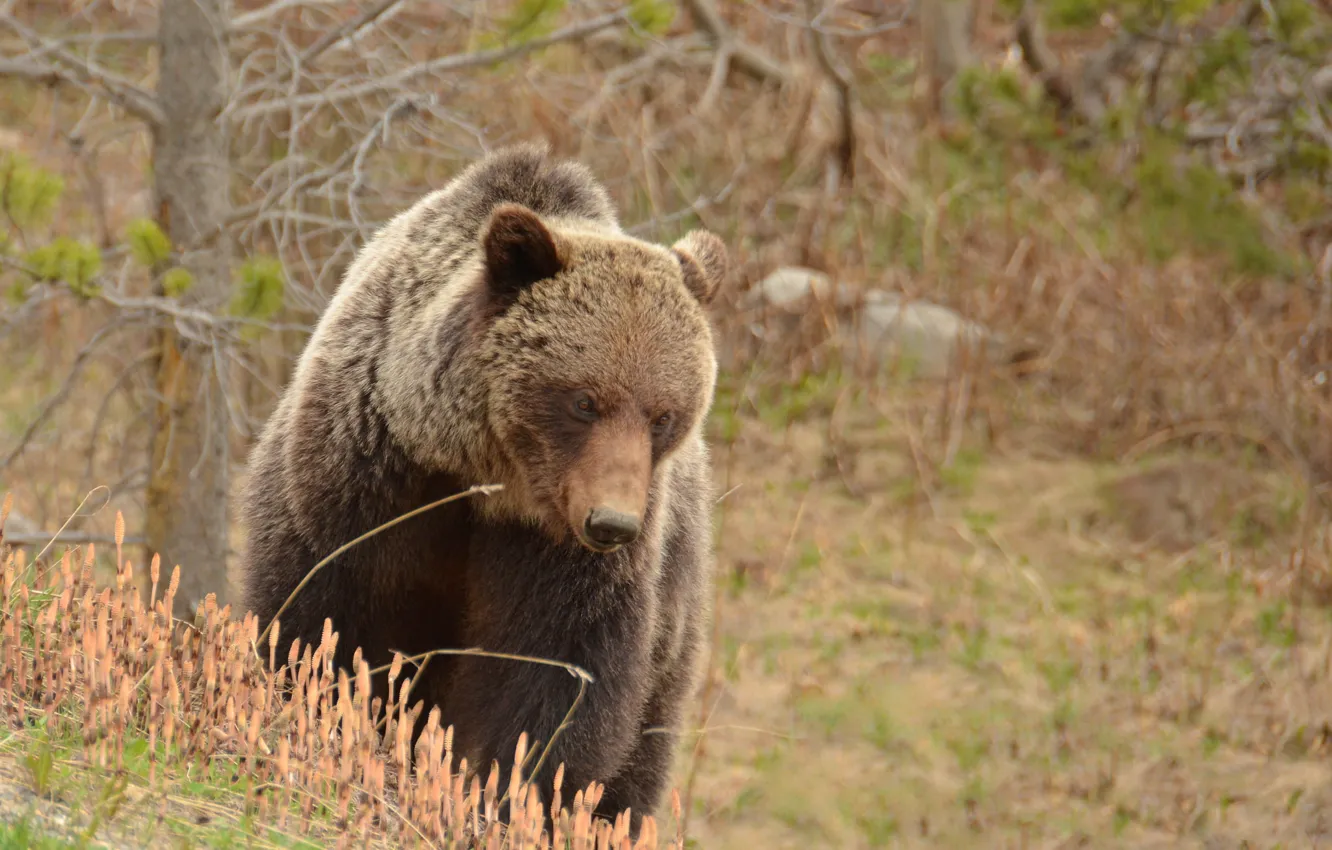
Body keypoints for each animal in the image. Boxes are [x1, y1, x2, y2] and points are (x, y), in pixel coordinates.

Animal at [239, 142, 727, 835]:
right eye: (584, 400)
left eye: (664, 415)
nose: (612, 524)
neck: (485, 478)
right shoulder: (366, 479)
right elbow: (323, 616)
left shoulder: (560, 555)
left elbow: (557, 675)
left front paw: (512, 795)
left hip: (676, 607)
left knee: (644, 742)